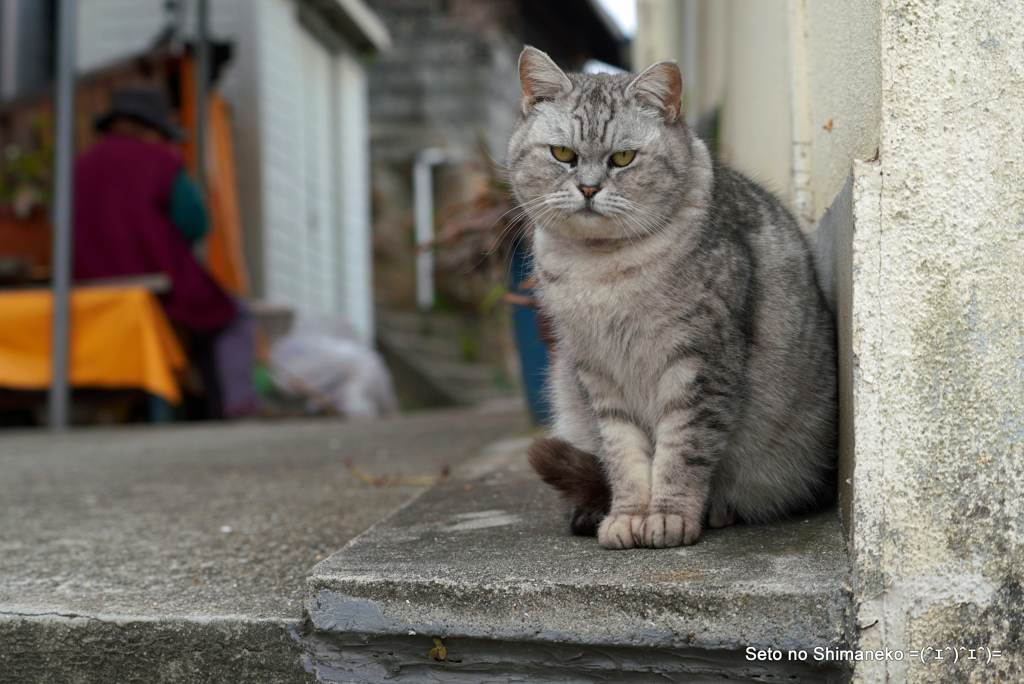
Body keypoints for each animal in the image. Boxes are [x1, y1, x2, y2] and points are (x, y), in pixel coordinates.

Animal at [507, 46, 835, 548]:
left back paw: (717, 510)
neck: (599, 268)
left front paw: (667, 516)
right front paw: (627, 517)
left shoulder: (699, 362)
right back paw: (589, 512)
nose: (588, 188)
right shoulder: (597, 372)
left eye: (623, 158)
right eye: (563, 154)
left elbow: (682, 451)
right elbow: (622, 455)